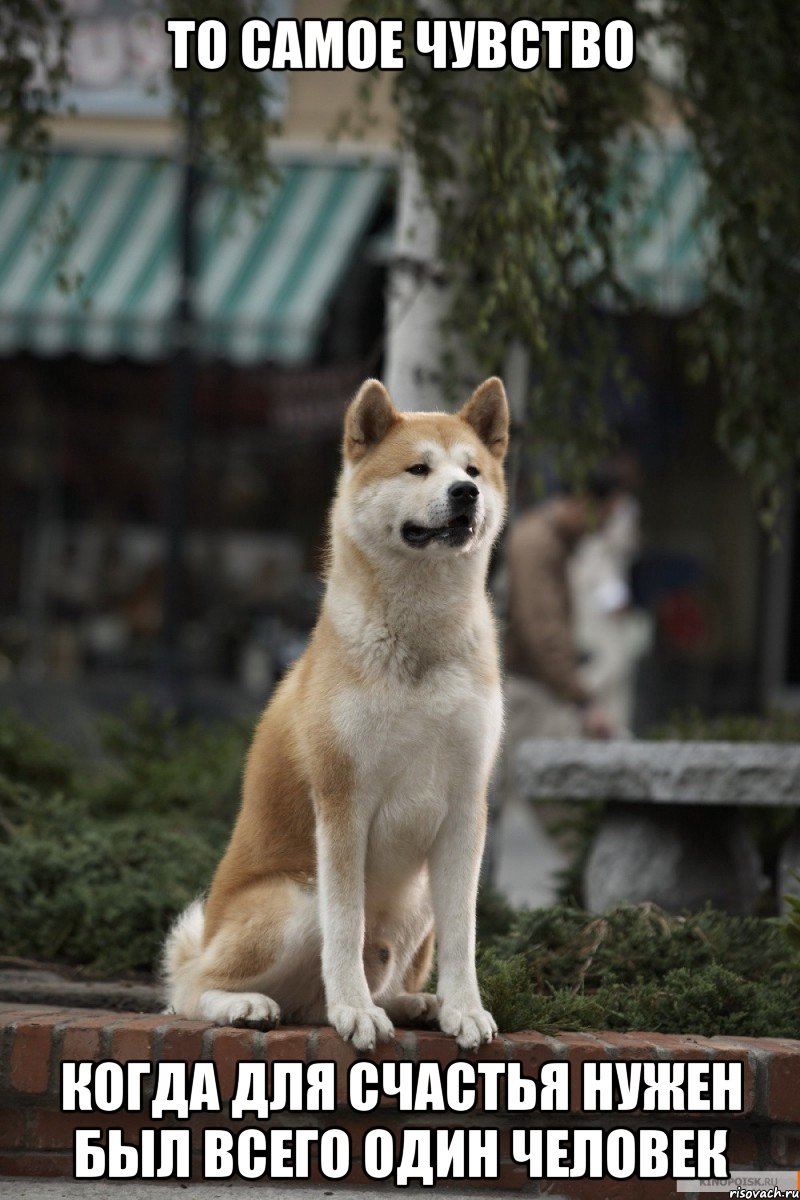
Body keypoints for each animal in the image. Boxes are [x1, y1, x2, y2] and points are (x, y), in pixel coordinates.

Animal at [165, 376, 510, 1051]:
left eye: (473, 470)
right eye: (418, 468)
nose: (466, 493)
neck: (420, 644)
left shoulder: (466, 806)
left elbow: (464, 934)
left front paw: (464, 1009)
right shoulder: (343, 801)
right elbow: (346, 928)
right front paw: (355, 1011)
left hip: (417, 900)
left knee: (362, 984)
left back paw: (415, 1003)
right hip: (296, 899)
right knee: (189, 990)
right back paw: (250, 1005)